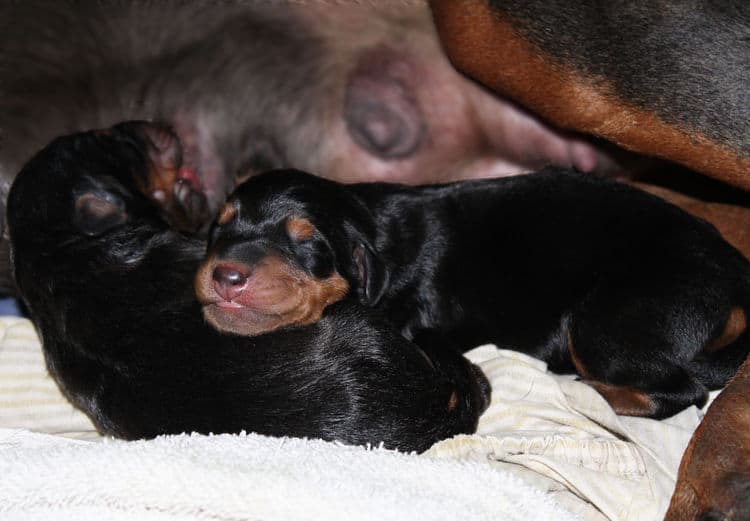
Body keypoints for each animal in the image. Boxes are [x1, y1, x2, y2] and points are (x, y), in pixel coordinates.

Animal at [197, 169, 750, 420]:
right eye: (218, 228)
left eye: (307, 241)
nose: (226, 275)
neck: (375, 235)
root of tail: (731, 265)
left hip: (606, 321)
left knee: (681, 390)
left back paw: (585, 389)